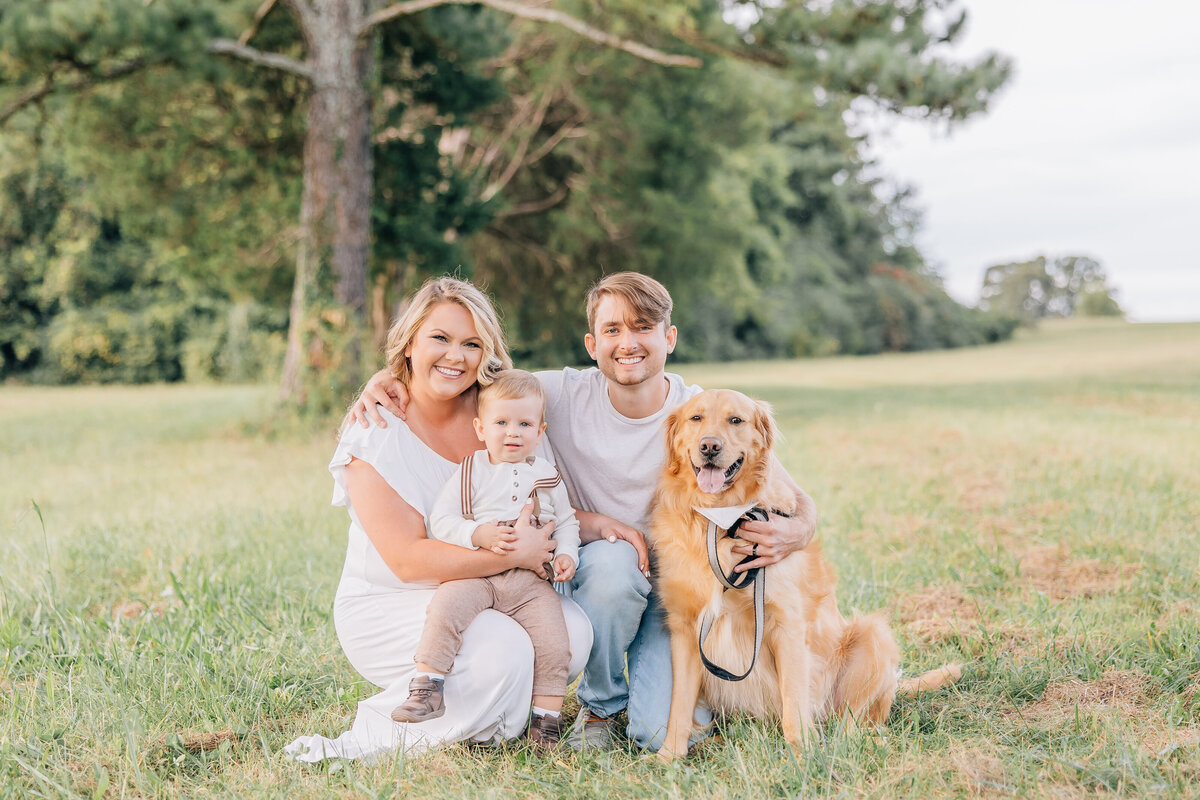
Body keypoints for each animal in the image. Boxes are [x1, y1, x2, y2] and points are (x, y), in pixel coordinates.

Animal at [652, 391, 960, 762]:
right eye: (695, 418)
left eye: (735, 420)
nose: (709, 446)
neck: (720, 520)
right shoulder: (685, 628)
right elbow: (678, 705)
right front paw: (669, 756)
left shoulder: (786, 622)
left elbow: (794, 699)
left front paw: (802, 754)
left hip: (873, 635)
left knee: (853, 723)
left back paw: (861, 742)